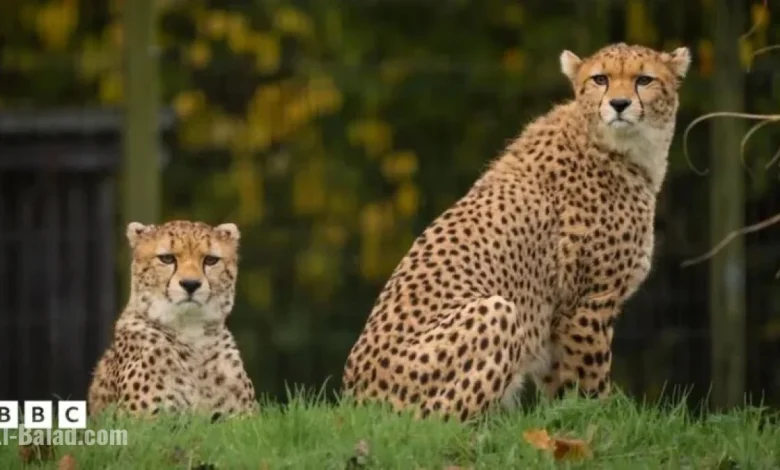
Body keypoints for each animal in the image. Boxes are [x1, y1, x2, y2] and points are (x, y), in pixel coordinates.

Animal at [87, 220, 258, 420]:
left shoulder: (243, 418)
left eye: (210, 260)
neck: (191, 332)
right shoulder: (148, 420)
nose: (191, 284)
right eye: (167, 258)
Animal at [341, 43, 691, 422]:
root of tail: (354, 401)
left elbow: (560, 387)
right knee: (439, 422)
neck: (617, 148)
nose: (620, 104)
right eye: (601, 79)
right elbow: (590, 383)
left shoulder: (557, 318)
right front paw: (600, 420)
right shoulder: (587, 303)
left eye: (644, 80)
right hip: (496, 311)